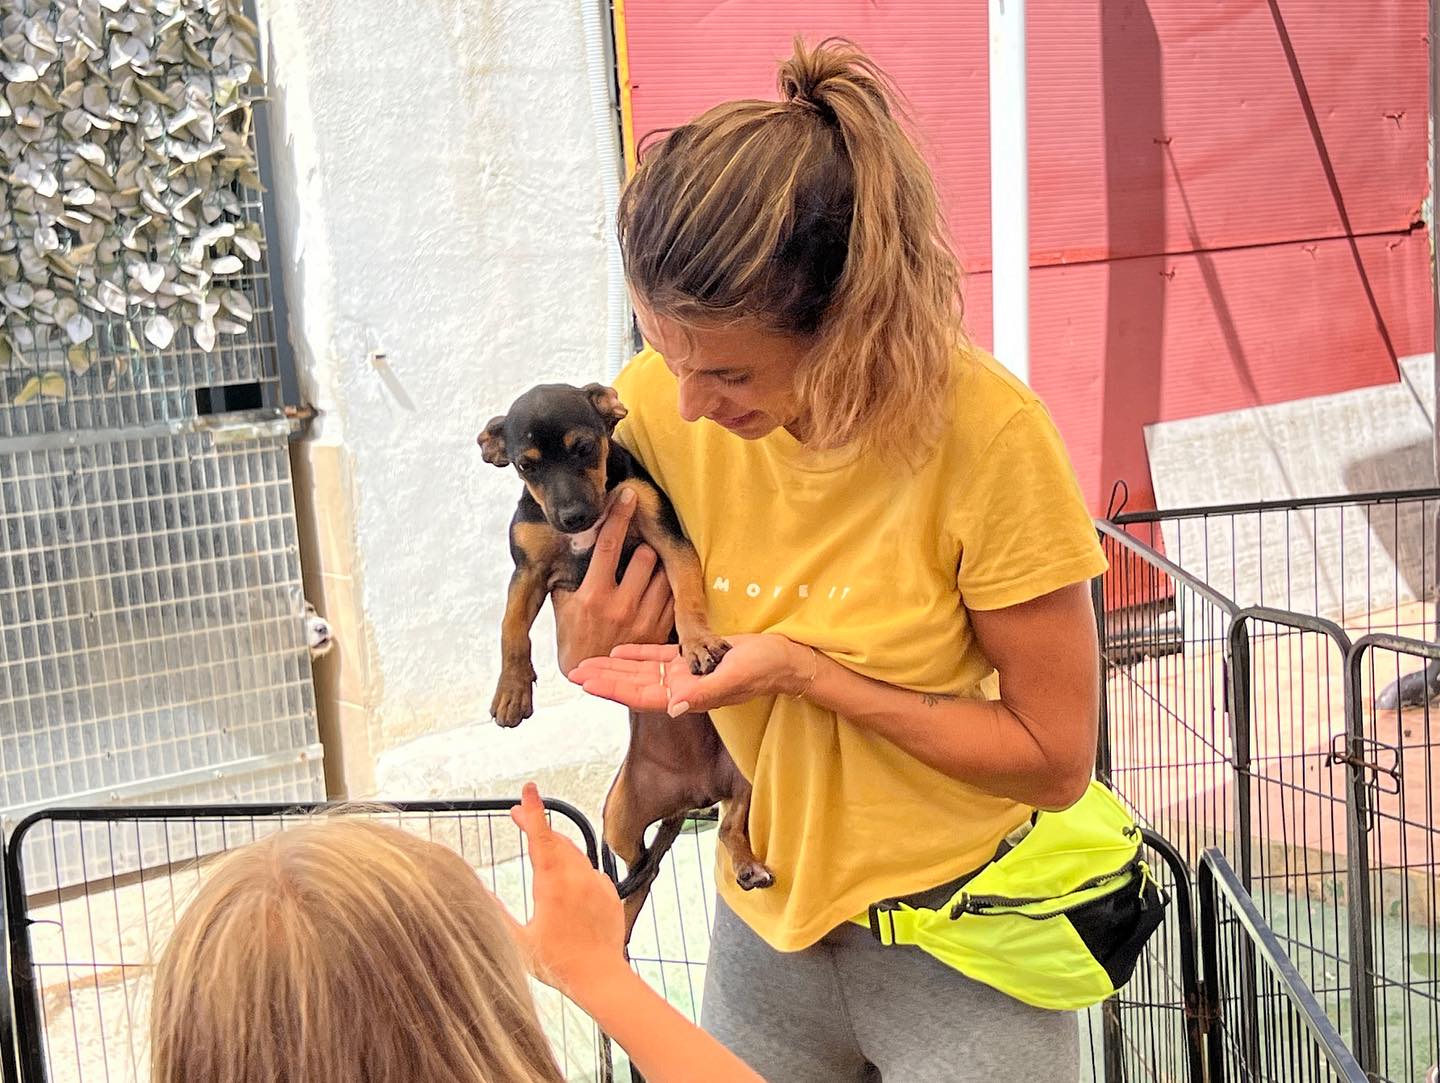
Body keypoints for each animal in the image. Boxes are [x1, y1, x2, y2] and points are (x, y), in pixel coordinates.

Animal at [480, 383, 777, 938]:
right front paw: (511, 693)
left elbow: (688, 596)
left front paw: (698, 644)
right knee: (640, 872)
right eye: (525, 466)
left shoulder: (666, 536)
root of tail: (692, 797)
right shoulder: (527, 571)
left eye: (584, 448)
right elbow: (511, 631)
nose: (573, 518)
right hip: (618, 815)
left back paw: (747, 866)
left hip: (745, 777)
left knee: (720, 833)